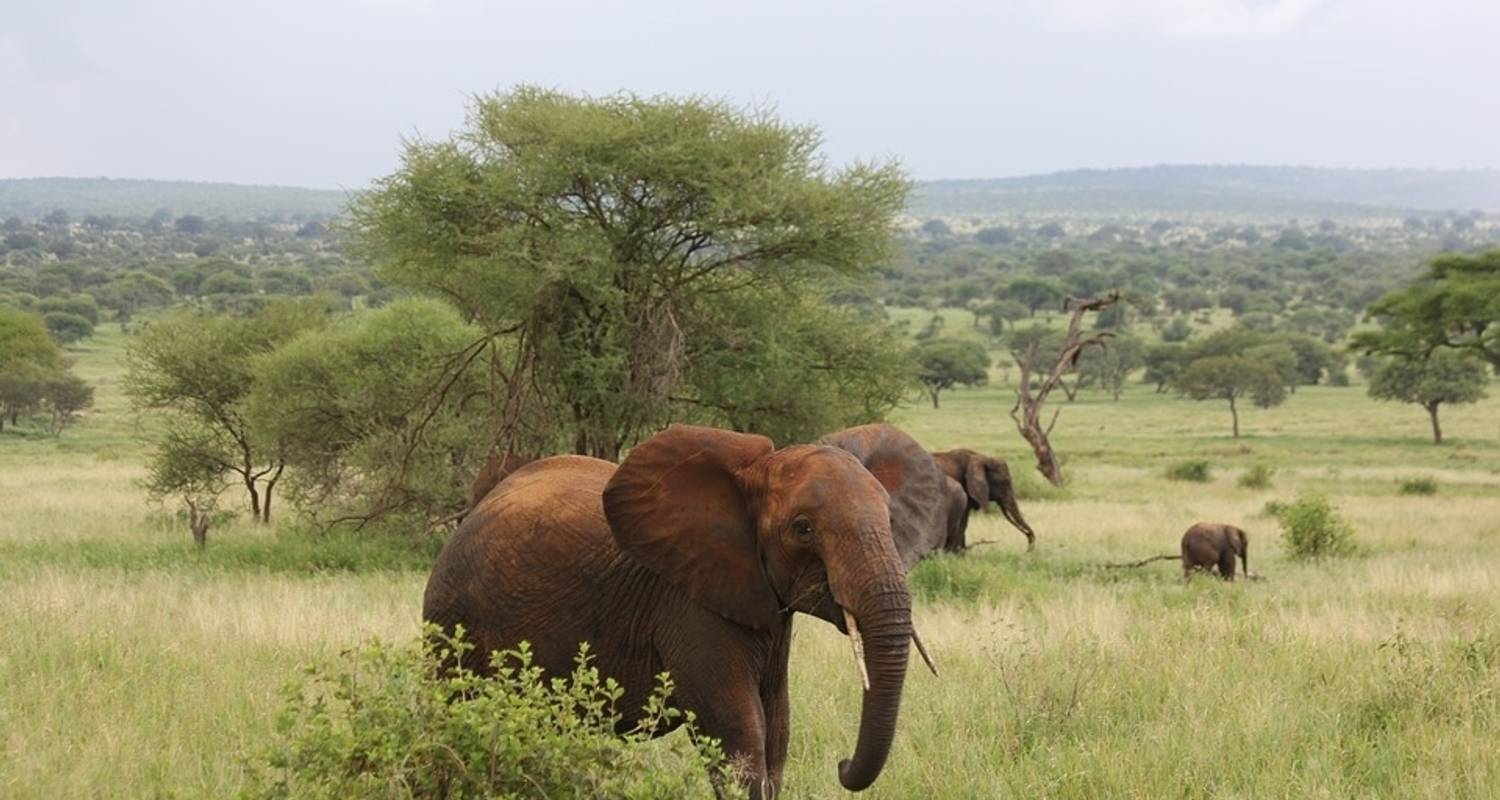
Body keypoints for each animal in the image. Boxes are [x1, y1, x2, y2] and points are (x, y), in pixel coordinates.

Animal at [420, 420, 936, 792]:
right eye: (803, 528)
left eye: (890, 519)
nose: (842, 764)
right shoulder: (687, 604)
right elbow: (739, 735)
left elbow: (777, 731)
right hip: (451, 620)